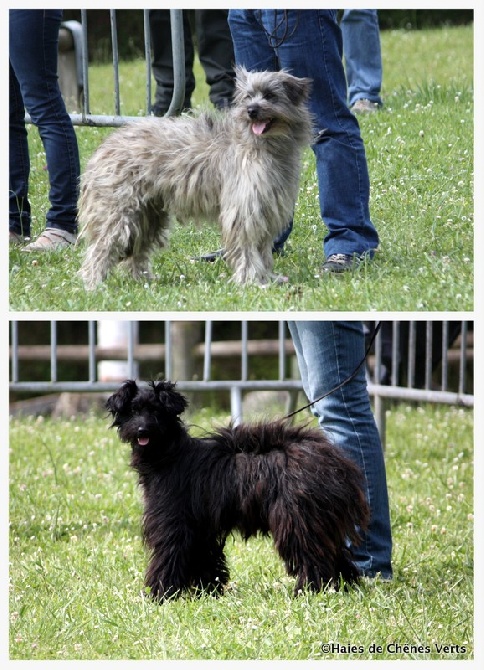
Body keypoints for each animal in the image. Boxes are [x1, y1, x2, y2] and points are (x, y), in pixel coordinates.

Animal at [77, 67, 312, 290]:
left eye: (271, 95)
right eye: (248, 96)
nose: (251, 110)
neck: (260, 145)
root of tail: (103, 149)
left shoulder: (265, 211)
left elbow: (262, 251)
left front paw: (267, 277)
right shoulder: (244, 212)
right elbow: (248, 249)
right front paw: (252, 281)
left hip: (148, 215)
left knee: (137, 251)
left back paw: (143, 280)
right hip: (118, 213)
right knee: (100, 249)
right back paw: (93, 284)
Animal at [107, 380, 370, 608]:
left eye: (156, 410)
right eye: (133, 410)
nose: (142, 429)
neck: (169, 453)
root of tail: (332, 460)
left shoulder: (173, 523)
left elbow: (167, 558)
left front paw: (159, 595)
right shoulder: (200, 527)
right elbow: (205, 559)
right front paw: (208, 592)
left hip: (298, 520)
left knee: (313, 557)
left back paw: (308, 592)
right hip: (319, 520)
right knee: (334, 554)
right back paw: (344, 587)